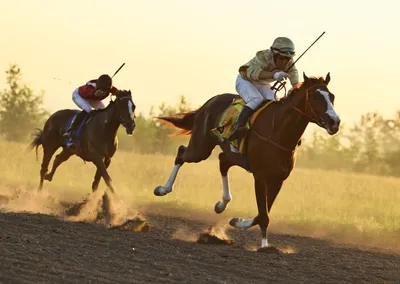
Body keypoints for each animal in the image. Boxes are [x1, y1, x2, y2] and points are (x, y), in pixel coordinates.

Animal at [153, 72, 340, 250]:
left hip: (232, 155)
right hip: (201, 148)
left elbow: (262, 213)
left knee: (222, 161)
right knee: (181, 153)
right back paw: (163, 189)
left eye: (331, 96)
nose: (335, 122)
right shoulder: (260, 176)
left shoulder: (278, 179)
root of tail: (209, 102)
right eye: (315, 97)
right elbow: (263, 215)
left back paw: (222, 204)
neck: (278, 131)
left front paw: (238, 221)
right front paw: (265, 246)